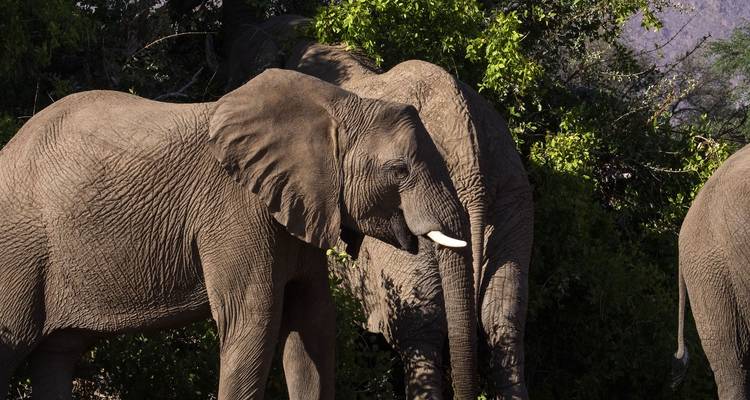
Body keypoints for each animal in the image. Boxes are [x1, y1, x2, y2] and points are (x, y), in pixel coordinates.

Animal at [0, 68, 478, 399]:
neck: (338, 105)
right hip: (18, 247)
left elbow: (313, 324)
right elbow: (254, 321)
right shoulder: (237, 211)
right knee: (14, 342)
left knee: (56, 355)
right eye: (399, 169)